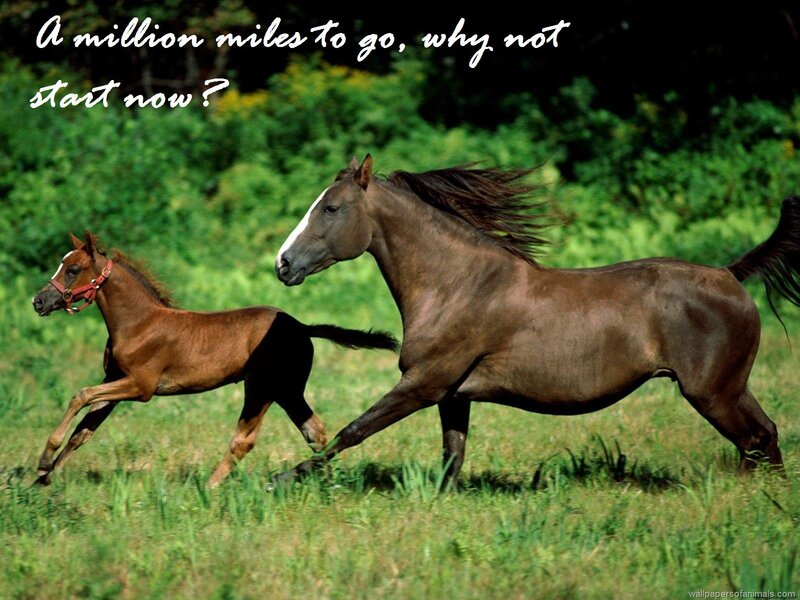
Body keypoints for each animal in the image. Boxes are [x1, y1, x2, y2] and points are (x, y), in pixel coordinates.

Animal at [31, 232, 398, 487]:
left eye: (72, 269)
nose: (39, 301)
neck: (139, 323)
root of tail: (301, 327)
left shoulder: (140, 386)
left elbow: (80, 395)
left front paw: (44, 460)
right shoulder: (115, 382)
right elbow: (83, 431)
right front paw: (44, 479)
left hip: (262, 387)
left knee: (245, 439)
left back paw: (209, 487)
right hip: (287, 390)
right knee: (316, 432)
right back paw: (322, 480)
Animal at [273, 154, 800, 484]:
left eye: (331, 207)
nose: (282, 264)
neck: (458, 285)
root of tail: (731, 274)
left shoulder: (424, 383)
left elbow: (353, 431)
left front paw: (279, 477)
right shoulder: (452, 395)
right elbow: (451, 460)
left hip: (713, 392)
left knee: (757, 439)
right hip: (728, 390)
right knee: (764, 438)